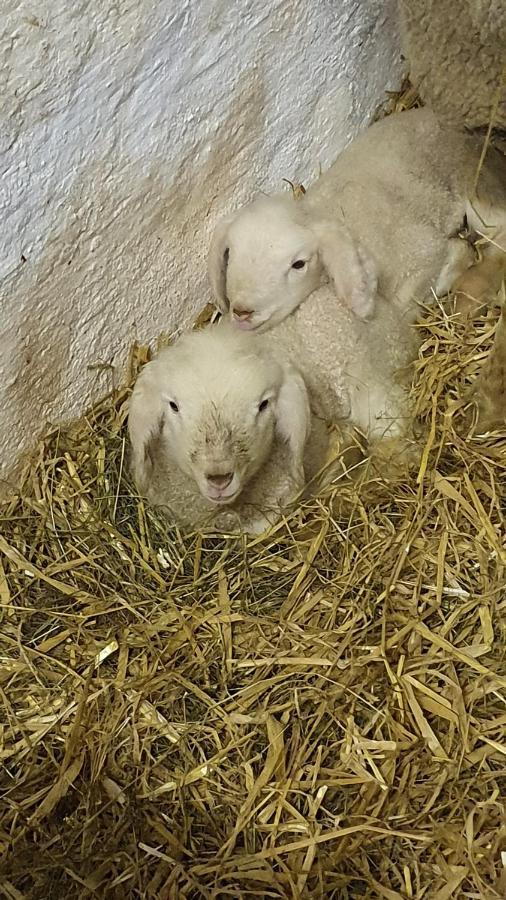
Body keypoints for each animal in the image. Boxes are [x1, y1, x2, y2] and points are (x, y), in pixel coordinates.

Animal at [209, 106, 506, 330]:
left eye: (299, 264)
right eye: (229, 255)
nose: (242, 312)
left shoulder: (424, 253)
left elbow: (411, 301)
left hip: (476, 186)